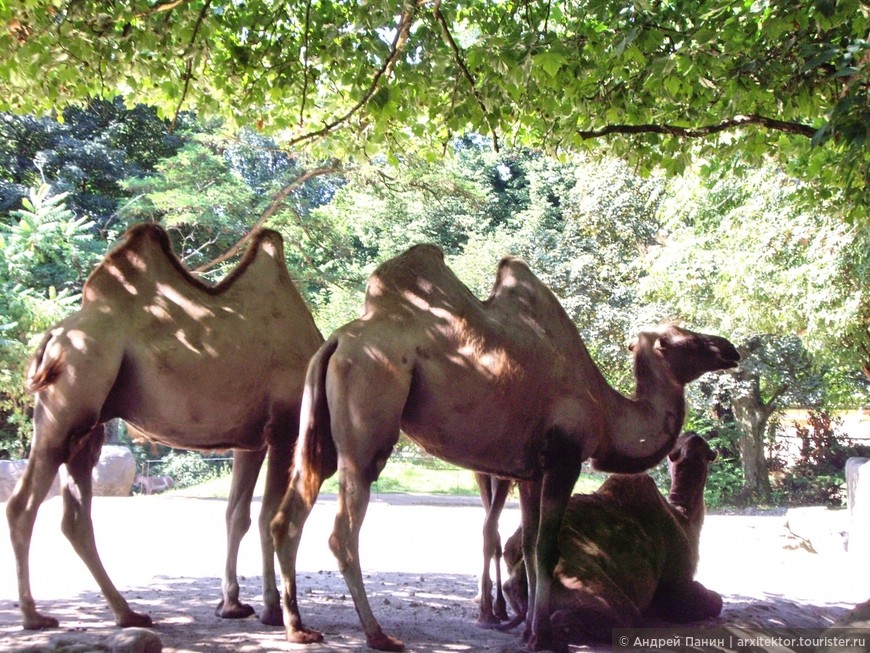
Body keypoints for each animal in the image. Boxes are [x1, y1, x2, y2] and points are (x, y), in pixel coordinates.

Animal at [5, 223, 326, 632]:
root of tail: (53, 337)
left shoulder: (250, 441)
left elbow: (236, 515)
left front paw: (231, 604)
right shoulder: (285, 427)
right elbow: (269, 515)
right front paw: (272, 610)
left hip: (85, 428)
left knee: (74, 517)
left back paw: (128, 613)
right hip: (70, 400)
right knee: (22, 505)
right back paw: (34, 616)